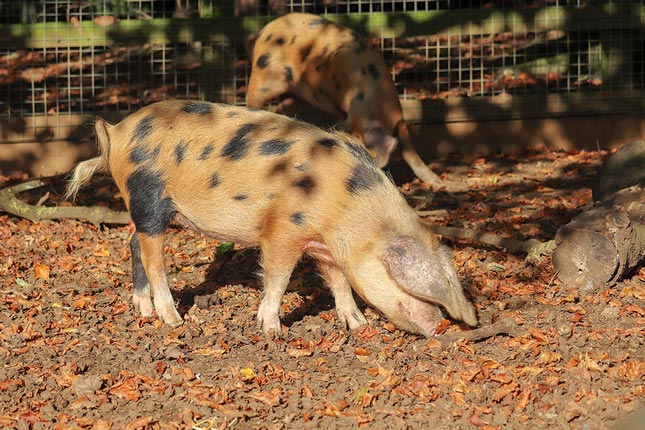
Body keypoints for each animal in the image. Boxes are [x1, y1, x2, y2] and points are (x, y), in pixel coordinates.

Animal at [66, 100, 476, 337]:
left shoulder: (325, 245)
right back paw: (173, 320)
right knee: (153, 258)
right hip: (148, 196)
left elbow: (339, 281)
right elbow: (278, 276)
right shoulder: (282, 229)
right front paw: (271, 331)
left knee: (132, 243)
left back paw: (145, 309)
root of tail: (117, 131)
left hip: (140, 206)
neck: (344, 206)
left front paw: (356, 325)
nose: (440, 327)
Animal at [246, 12, 442, 186]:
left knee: (282, 107)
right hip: (263, 76)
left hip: (293, 94)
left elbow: (410, 153)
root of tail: (264, 31)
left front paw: (437, 182)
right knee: (253, 99)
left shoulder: (399, 119)